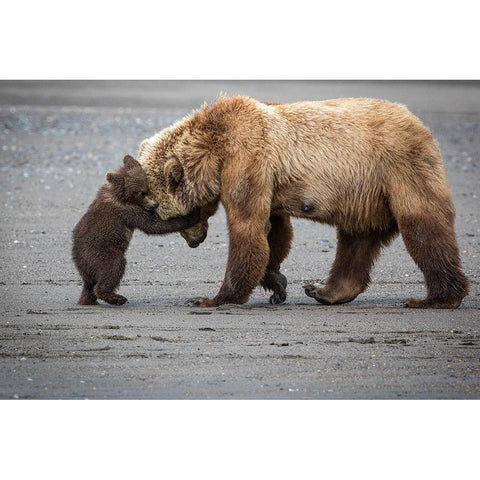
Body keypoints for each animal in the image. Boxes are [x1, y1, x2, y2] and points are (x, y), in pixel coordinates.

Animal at [138, 95, 468, 310]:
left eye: (160, 211)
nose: (194, 242)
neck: (213, 150)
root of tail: (418, 123)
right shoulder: (266, 178)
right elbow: (274, 230)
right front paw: (276, 282)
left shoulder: (247, 158)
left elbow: (247, 227)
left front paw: (212, 298)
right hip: (365, 194)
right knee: (357, 239)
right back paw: (325, 291)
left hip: (398, 167)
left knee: (423, 225)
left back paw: (436, 298)